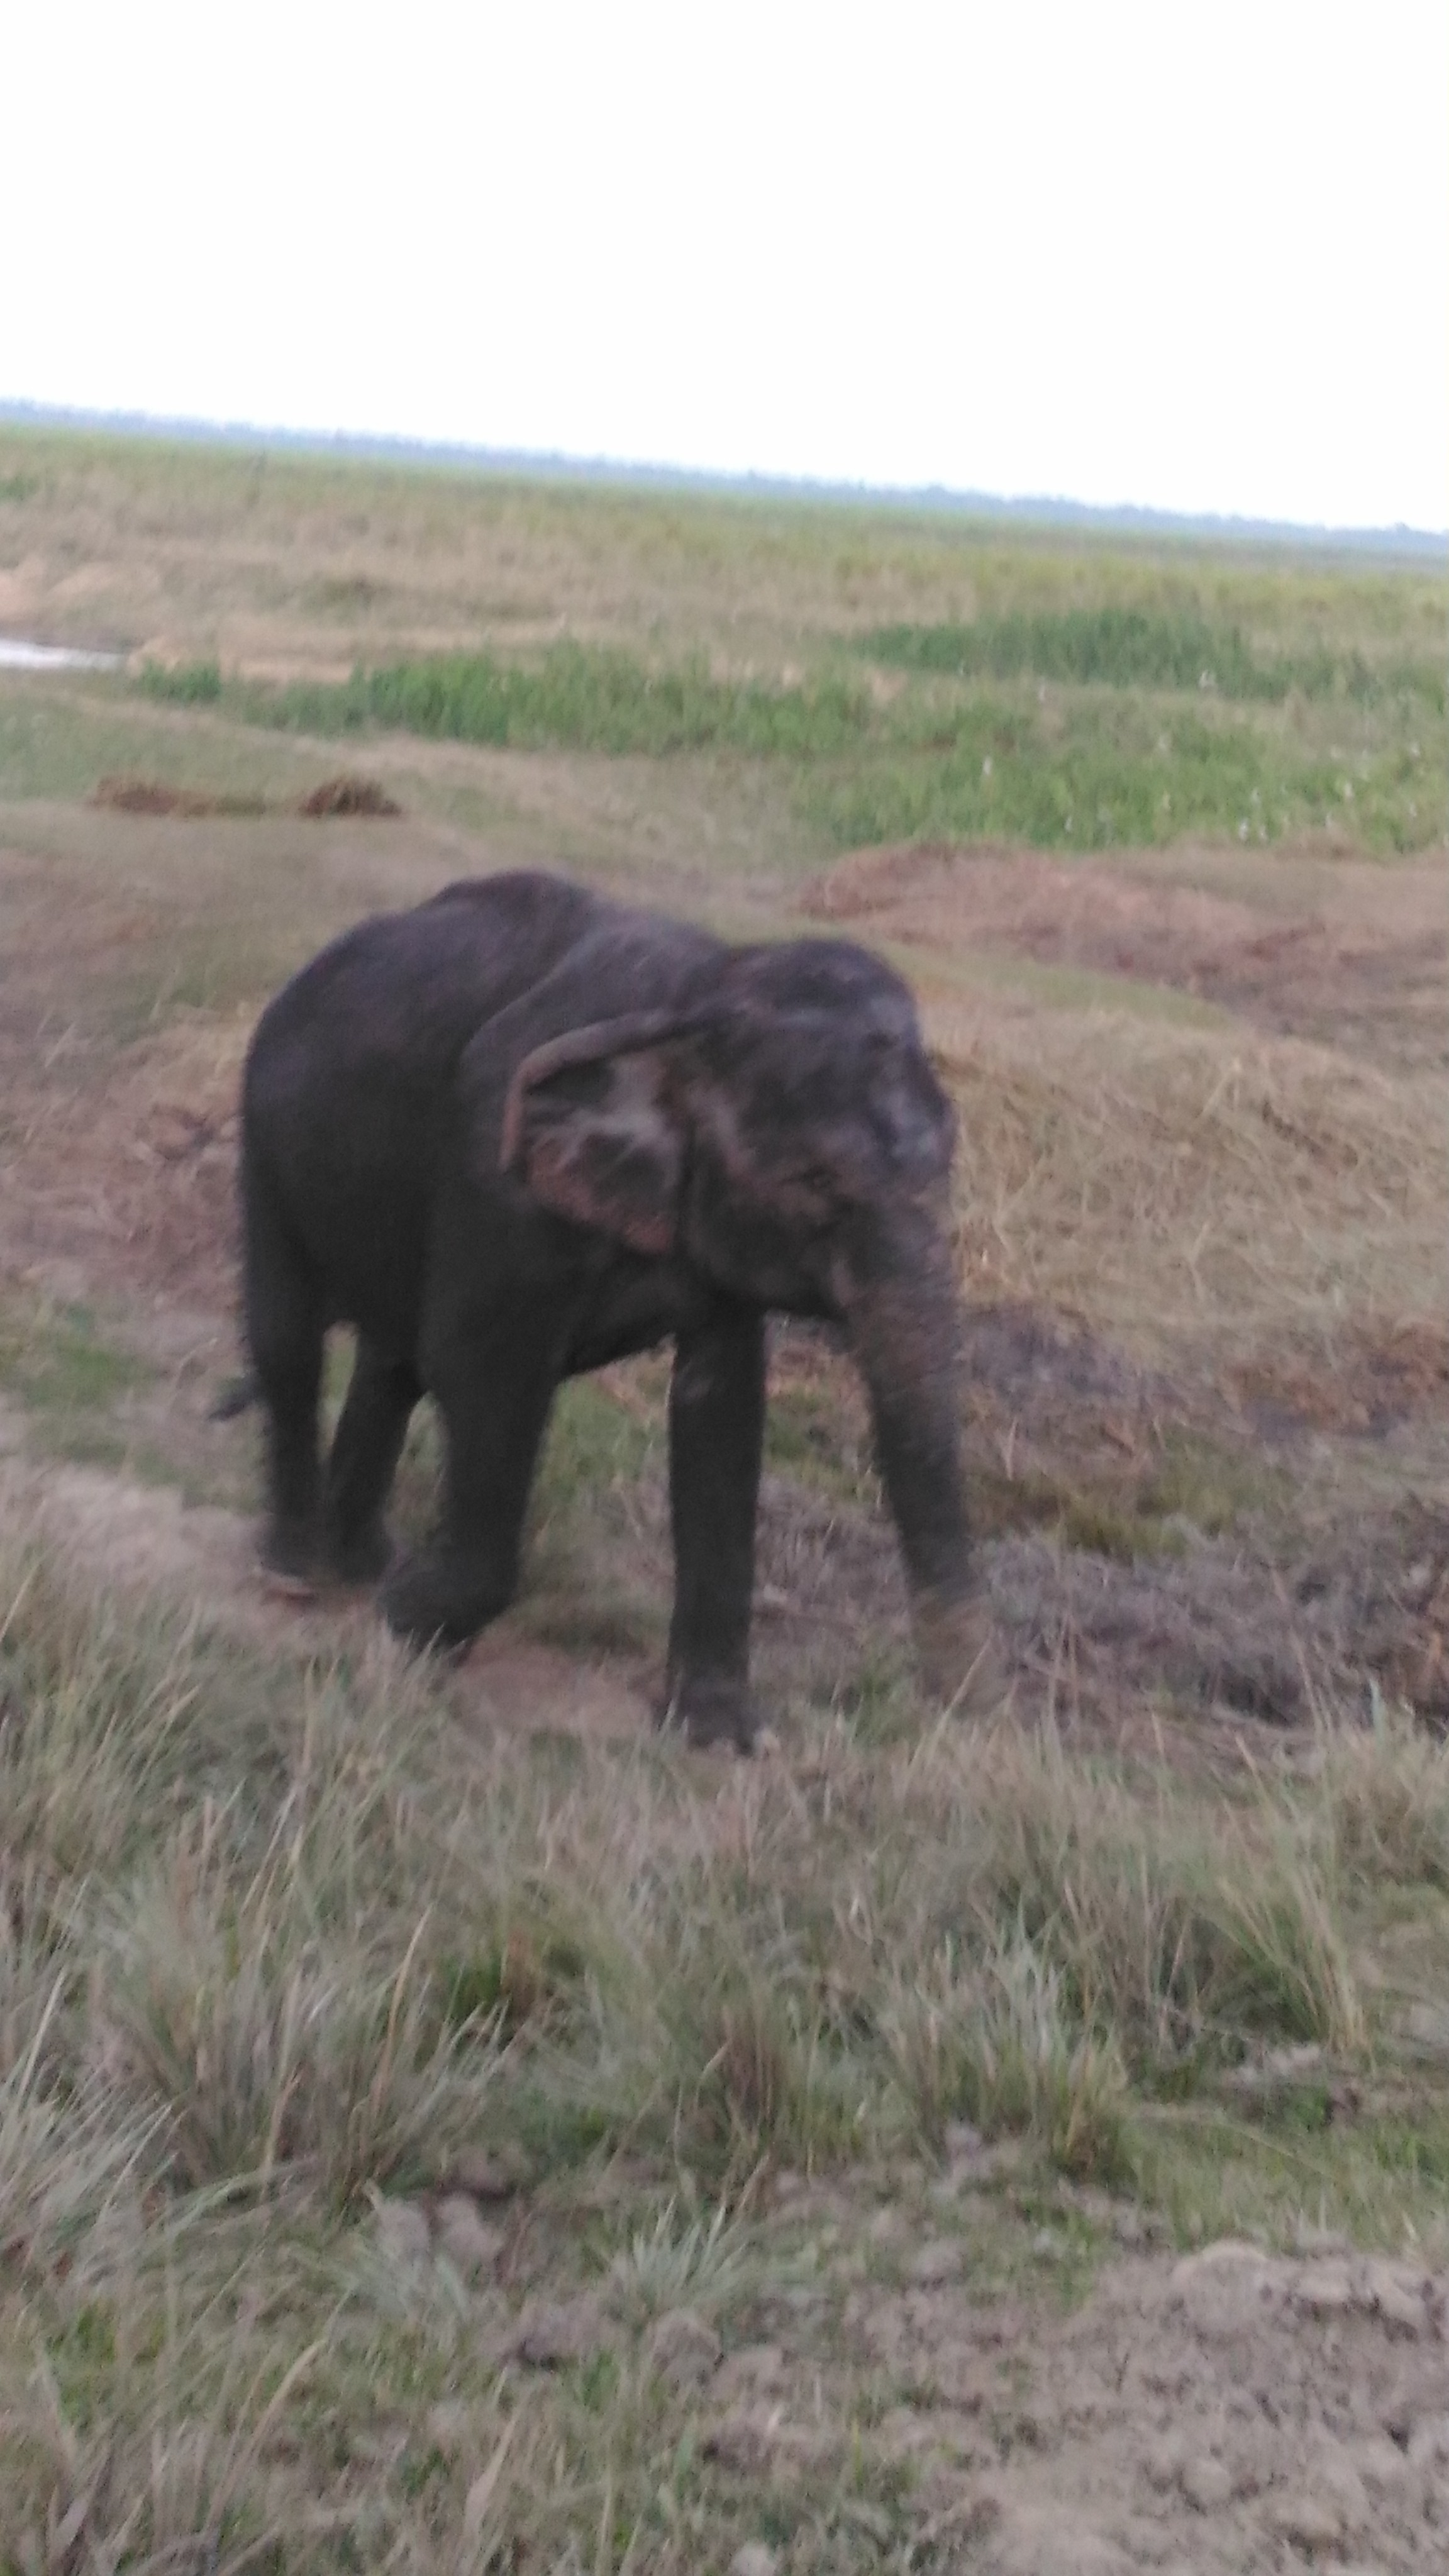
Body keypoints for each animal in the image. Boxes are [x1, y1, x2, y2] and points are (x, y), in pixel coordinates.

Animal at [237, 868, 999, 1747]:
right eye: (813, 1181)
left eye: (947, 1164)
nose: (949, 1707)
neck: (703, 992)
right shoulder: (496, 1175)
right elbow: (484, 1377)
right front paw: (408, 1625)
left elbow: (721, 1411)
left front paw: (720, 1735)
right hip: (264, 1132)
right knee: (290, 1340)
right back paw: (298, 1576)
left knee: (393, 1363)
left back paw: (363, 1565)